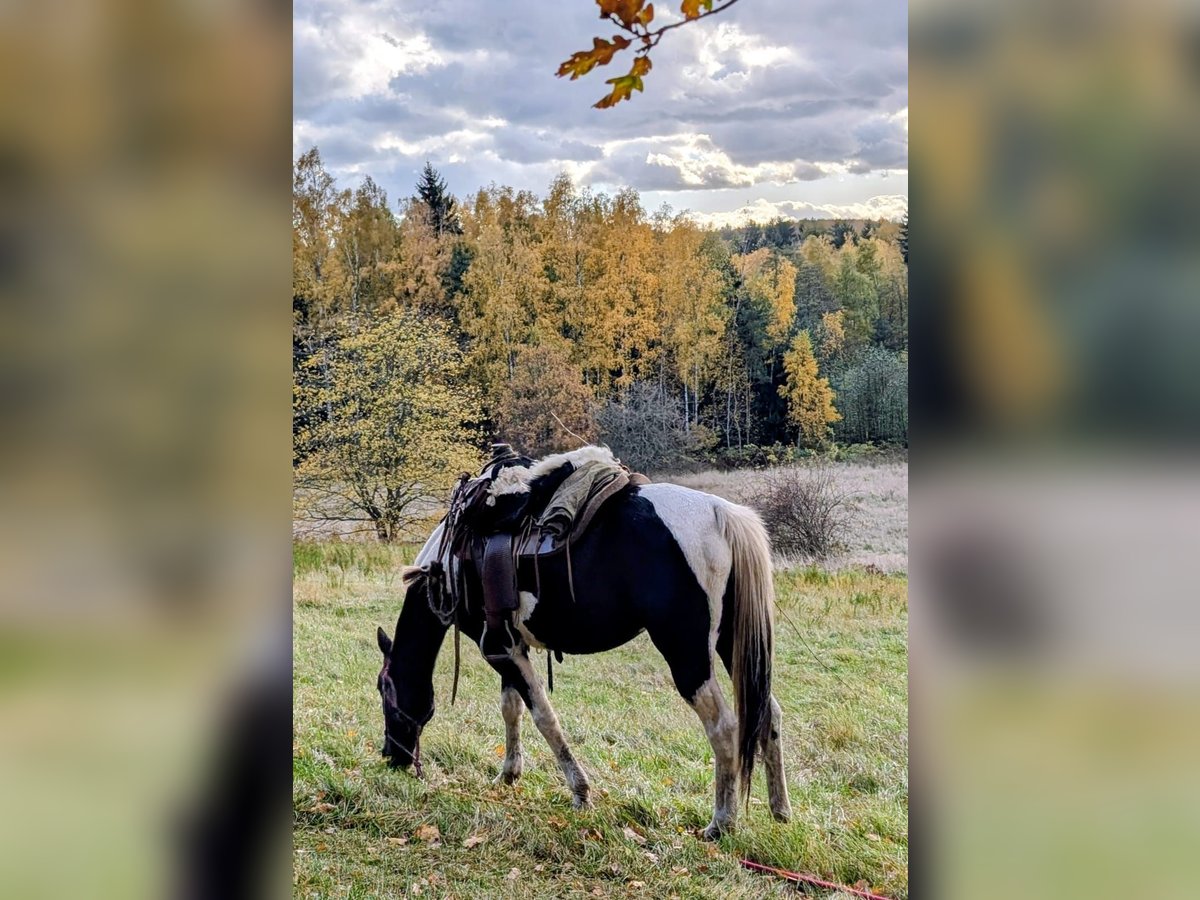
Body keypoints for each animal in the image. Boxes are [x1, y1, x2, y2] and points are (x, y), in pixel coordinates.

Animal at [374, 447, 792, 838]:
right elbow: (512, 708)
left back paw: (721, 822)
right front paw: (509, 774)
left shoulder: (497, 648)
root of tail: (722, 513)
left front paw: (580, 792)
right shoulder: (508, 645)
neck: (448, 564)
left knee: (724, 726)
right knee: (767, 711)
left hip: (687, 654)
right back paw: (780, 811)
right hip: (732, 645)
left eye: (384, 689)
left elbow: (543, 715)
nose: (392, 756)